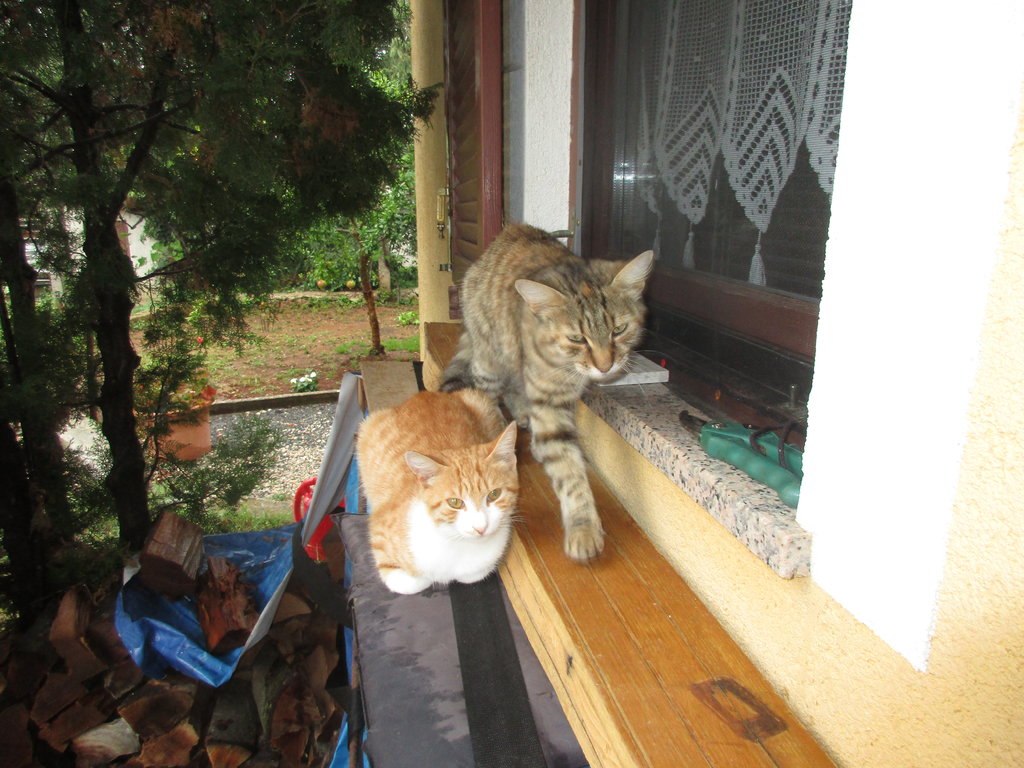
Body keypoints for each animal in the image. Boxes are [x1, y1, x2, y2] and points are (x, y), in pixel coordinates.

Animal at [356, 388, 519, 595]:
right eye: (455, 502)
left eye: (494, 494)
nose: (480, 528)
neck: (459, 544)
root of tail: (423, 394)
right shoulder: (379, 532)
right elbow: (412, 581)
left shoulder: (481, 566)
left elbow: (473, 575)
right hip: (366, 428)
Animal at [441, 223, 653, 562]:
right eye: (577, 338)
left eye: (619, 330)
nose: (605, 366)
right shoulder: (549, 399)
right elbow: (569, 471)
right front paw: (584, 527)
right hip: (491, 358)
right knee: (487, 394)